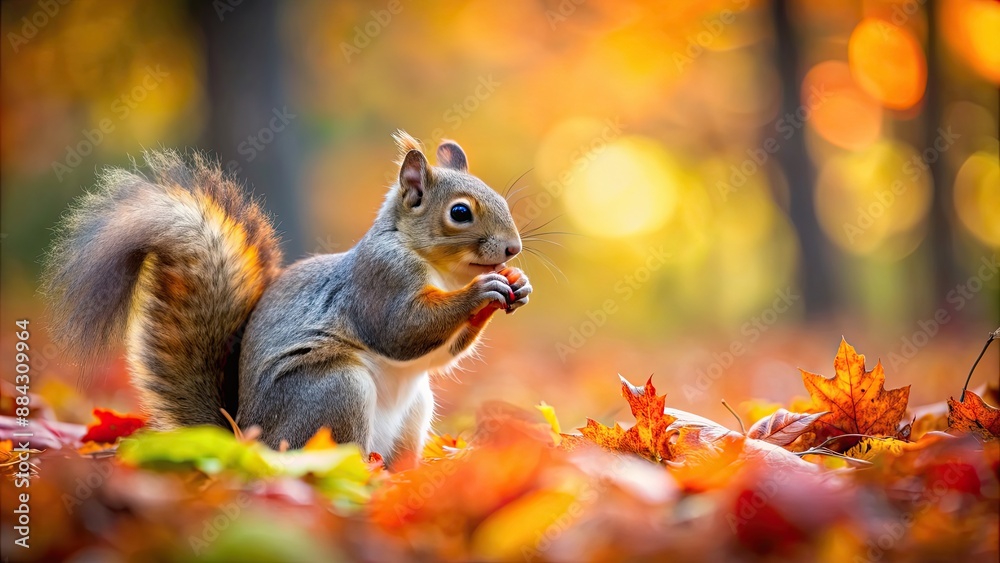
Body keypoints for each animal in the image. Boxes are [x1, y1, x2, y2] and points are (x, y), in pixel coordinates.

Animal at [43, 131, 532, 468]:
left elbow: (441, 353)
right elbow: (401, 330)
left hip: (414, 412)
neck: (441, 271)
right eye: (460, 212)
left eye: (502, 199)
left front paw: (517, 284)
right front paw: (482, 291)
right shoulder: (379, 280)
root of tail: (247, 440)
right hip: (333, 392)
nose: (513, 250)